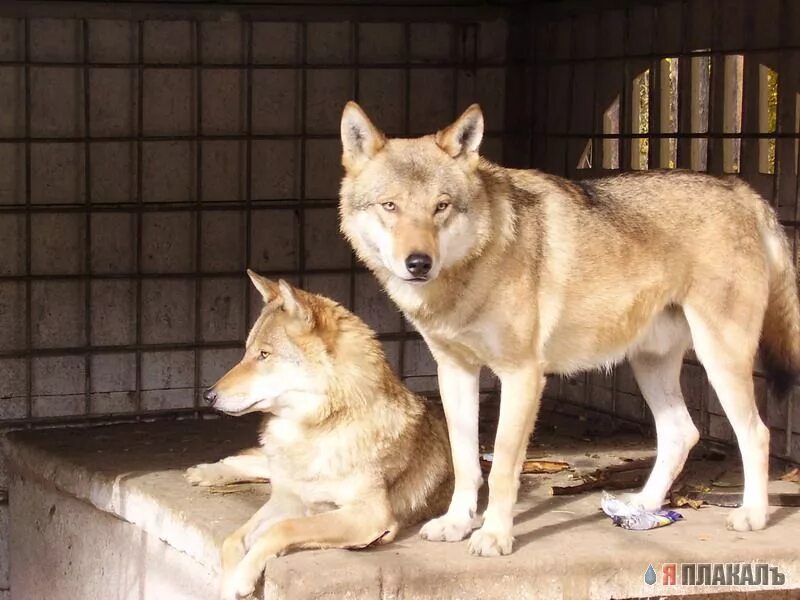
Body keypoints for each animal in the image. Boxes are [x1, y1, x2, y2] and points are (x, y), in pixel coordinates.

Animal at [184, 270, 454, 596]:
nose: (208, 395)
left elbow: (284, 528)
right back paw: (205, 471)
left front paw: (243, 575)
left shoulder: (369, 514)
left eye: (264, 354)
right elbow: (233, 539)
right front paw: (229, 583)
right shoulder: (288, 500)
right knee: (253, 461)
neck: (318, 430)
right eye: (247, 352)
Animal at [338, 99, 800, 556]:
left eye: (442, 206)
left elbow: (502, 467)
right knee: (681, 433)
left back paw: (752, 515)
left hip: (719, 359)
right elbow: (465, 461)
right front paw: (456, 524)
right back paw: (643, 507)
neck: (470, 273)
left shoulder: (522, 375)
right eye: (390, 206)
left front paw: (495, 535)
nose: (419, 263)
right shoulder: (455, 372)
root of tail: (744, 191)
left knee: (756, 433)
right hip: (650, 365)